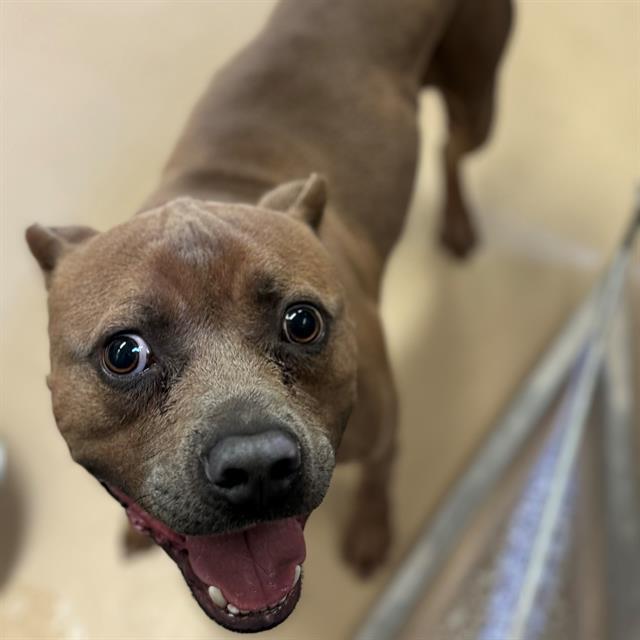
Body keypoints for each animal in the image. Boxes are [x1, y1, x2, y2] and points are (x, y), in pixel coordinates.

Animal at [27, 0, 512, 632]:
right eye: (124, 353)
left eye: (302, 322)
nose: (255, 467)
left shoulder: (384, 432)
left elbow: (379, 478)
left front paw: (371, 530)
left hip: (476, 99)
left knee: (451, 152)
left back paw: (455, 221)